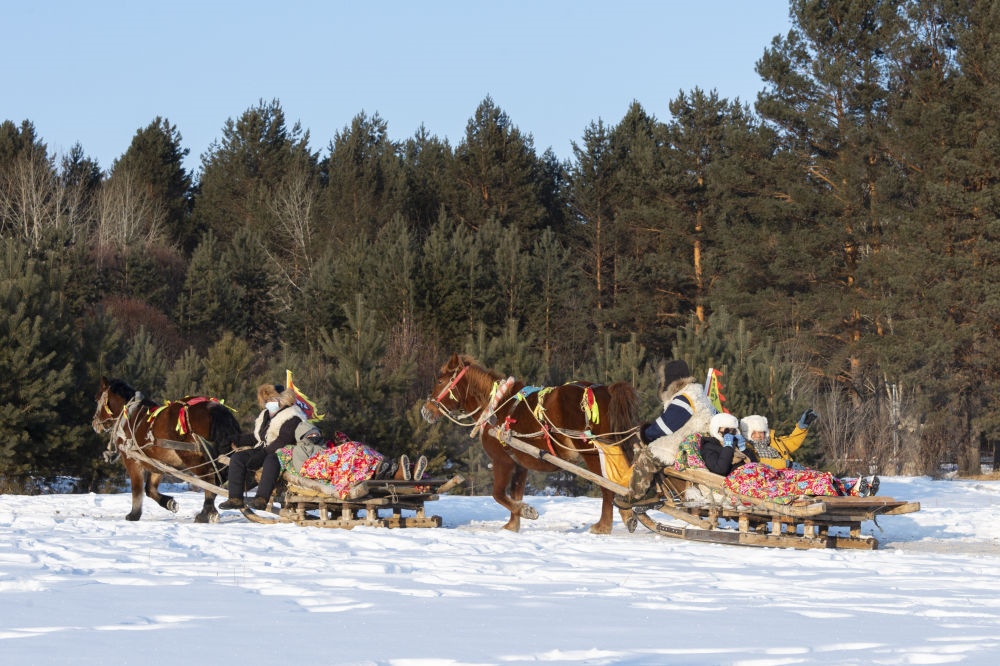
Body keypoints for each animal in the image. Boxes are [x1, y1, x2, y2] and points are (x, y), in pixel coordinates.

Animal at [92, 376, 244, 520]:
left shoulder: (132, 459)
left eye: (97, 399)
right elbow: (150, 489)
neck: (129, 415)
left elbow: (137, 489)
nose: (94, 423)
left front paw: (134, 514)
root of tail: (213, 408)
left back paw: (206, 513)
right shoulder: (159, 462)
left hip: (193, 457)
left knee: (209, 481)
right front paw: (169, 503)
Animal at [422, 350, 640, 532]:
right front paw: (512, 525)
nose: (426, 410)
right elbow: (515, 493)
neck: (495, 407)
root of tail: (606, 390)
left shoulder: (503, 461)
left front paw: (526, 511)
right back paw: (627, 514)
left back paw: (603, 525)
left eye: (440, 380)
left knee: (607, 486)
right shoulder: (520, 464)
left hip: (593, 451)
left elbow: (498, 494)